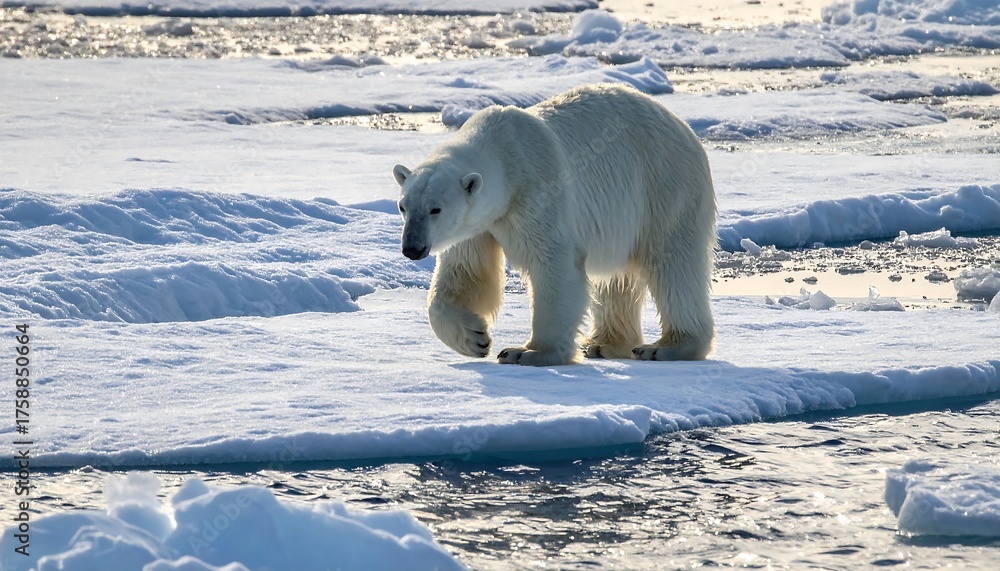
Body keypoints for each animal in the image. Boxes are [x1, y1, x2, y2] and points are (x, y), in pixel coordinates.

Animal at [393, 83, 716, 366]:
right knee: (616, 279)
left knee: (674, 267)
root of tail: (683, 127)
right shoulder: (480, 223)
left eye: (435, 209)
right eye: (403, 206)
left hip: (664, 188)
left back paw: (666, 347)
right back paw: (604, 344)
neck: (505, 155)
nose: (412, 248)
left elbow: (554, 261)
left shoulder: (538, 190)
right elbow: (466, 271)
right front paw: (475, 338)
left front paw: (528, 352)